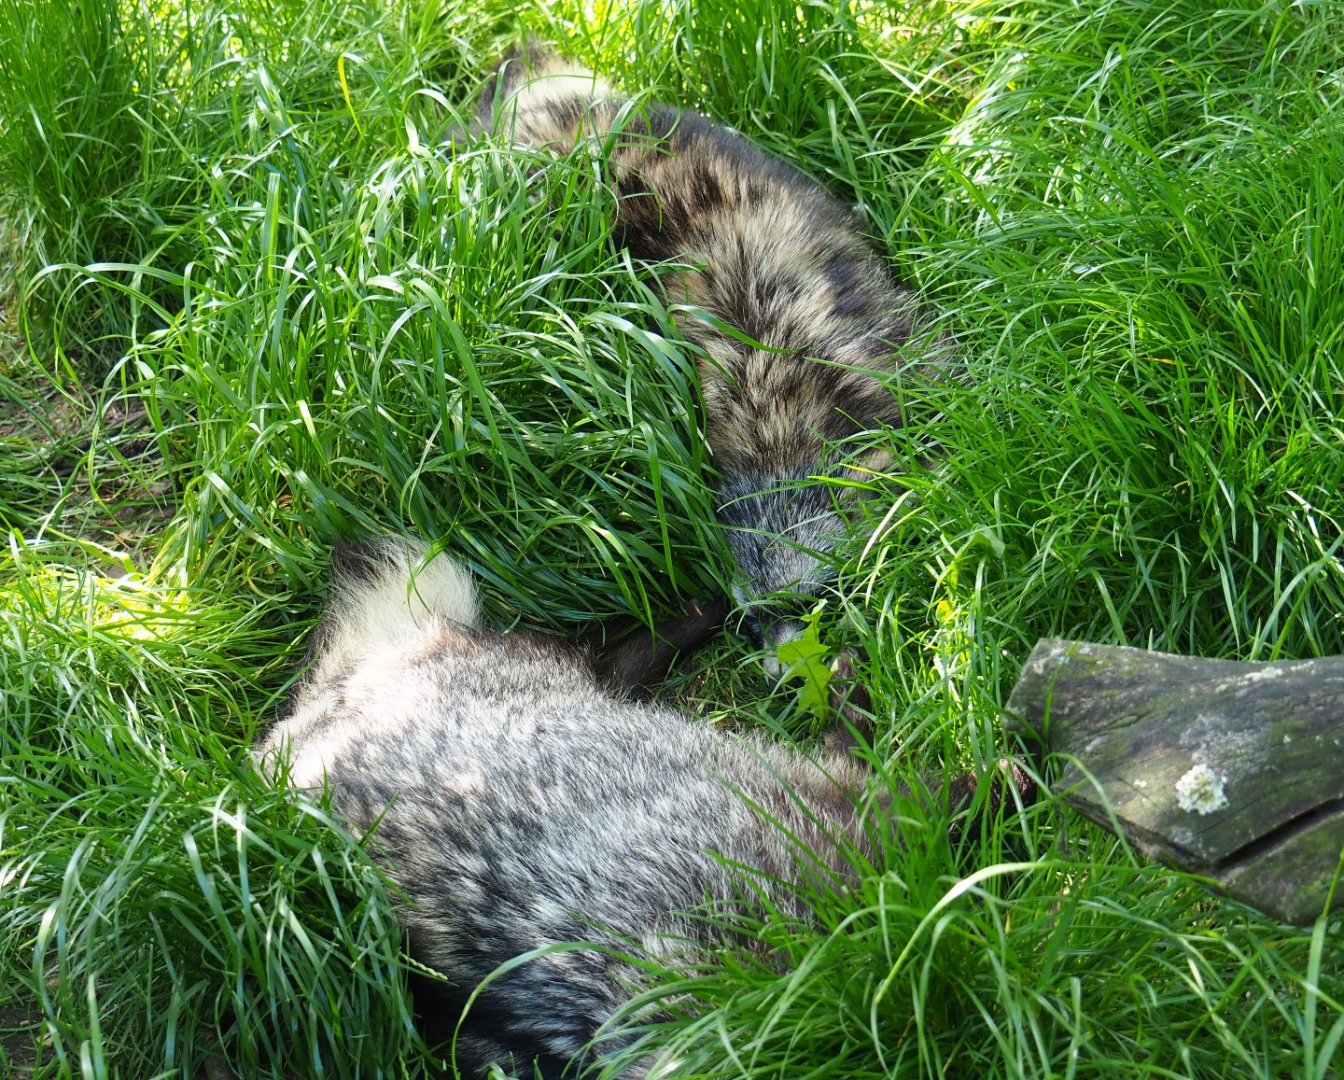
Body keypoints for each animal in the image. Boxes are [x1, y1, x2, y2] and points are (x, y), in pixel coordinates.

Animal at [255, 540, 1030, 1078]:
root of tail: (320, 706)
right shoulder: (809, 839)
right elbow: (912, 807)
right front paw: (1002, 781)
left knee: (599, 657)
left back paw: (697, 617)